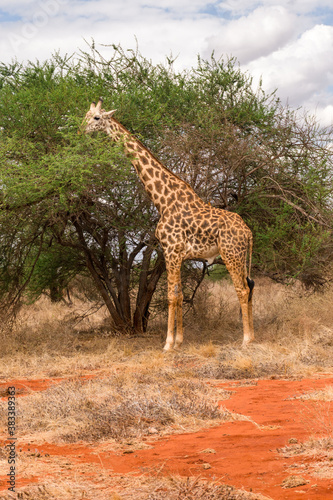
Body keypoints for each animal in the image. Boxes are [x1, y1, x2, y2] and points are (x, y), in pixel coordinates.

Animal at [81, 96, 253, 348]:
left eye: (96, 118)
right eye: (85, 115)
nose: (80, 130)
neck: (162, 200)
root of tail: (249, 233)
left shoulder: (171, 250)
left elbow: (171, 295)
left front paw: (168, 344)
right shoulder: (175, 254)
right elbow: (179, 294)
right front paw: (179, 341)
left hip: (232, 254)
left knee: (241, 289)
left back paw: (247, 339)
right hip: (239, 256)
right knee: (249, 286)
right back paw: (253, 336)